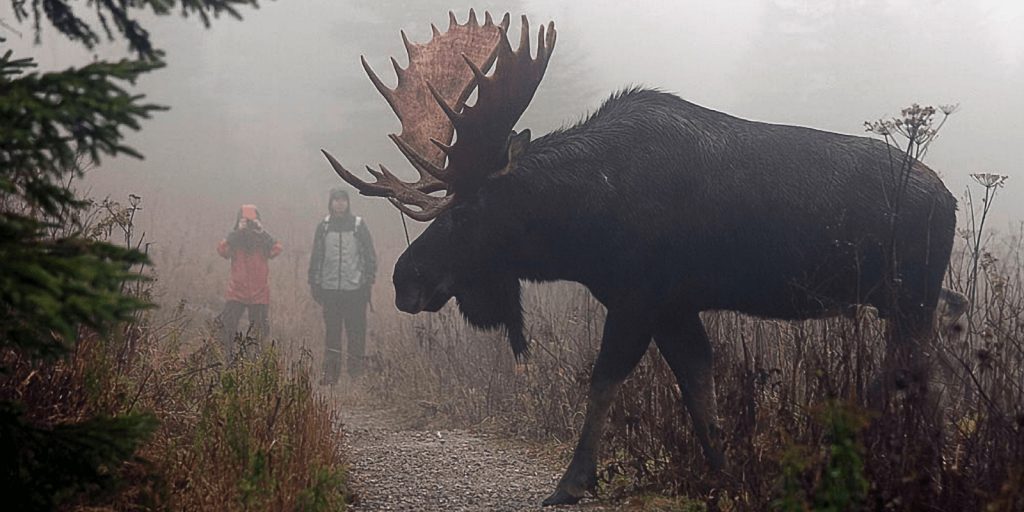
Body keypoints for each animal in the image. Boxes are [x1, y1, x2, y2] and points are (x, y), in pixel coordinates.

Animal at [323, 9, 954, 505]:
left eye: (470, 209)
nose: (405, 278)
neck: (581, 224)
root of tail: (946, 199)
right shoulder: (675, 305)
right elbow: (699, 389)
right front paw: (723, 476)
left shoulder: (637, 296)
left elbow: (603, 380)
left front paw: (572, 482)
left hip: (912, 299)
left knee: (918, 378)